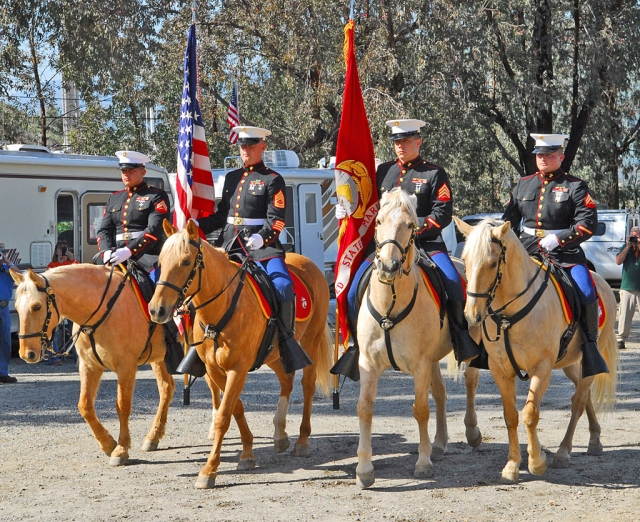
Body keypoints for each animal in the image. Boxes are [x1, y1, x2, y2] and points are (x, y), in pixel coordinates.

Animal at [8, 264, 212, 464]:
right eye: (17, 307)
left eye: (36, 306)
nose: (27, 353)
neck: (102, 310)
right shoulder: (89, 366)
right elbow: (85, 406)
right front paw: (108, 444)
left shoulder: (126, 367)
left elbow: (122, 405)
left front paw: (121, 449)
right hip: (160, 358)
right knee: (166, 388)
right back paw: (153, 437)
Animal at [148, 219, 332, 488]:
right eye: (160, 262)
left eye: (185, 261)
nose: (157, 310)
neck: (221, 308)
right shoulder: (215, 370)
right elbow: (235, 407)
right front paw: (246, 453)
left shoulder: (238, 368)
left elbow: (224, 414)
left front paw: (209, 470)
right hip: (274, 353)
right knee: (286, 381)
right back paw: (280, 434)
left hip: (310, 341)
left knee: (307, 385)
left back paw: (302, 440)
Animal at [356, 188, 480, 488]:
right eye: (378, 221)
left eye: (411, 225)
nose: (388, 266)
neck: (390, 305)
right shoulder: (368, 364)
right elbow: (365, 408)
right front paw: (364, 470)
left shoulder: (420, 365)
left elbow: (421, 409)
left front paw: (423, 464)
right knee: (441, 392)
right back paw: (439, 444)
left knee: (470, 381)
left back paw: (472, 432)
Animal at [456, 217, 620, 482]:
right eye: (466, 260)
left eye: (492, 262)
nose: (472, 315)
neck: (509, 314)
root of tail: (603, 282)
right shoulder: (500, 369)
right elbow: (510, 416)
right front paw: (512, 465)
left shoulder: (541, 368)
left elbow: (530, 414)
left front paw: (536, 462)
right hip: (571, 364)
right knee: (583, 395)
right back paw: (594, 439)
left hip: (589, 357)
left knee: (578, 400)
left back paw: (563, 452)